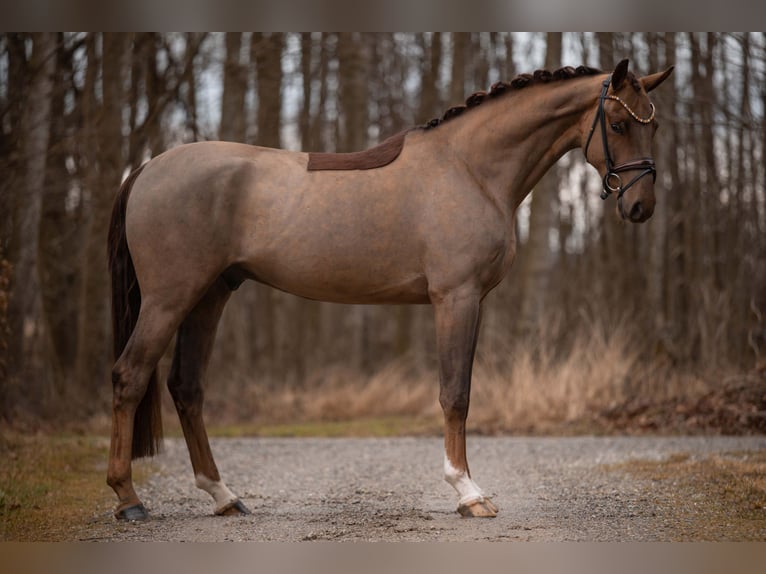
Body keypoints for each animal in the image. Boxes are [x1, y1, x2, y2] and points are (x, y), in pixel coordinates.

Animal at [106, 59, 672, 520]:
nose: (641, 206)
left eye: (655, 125)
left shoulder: (471, 301)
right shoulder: (455, 298)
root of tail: (147, 168)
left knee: (187, 387)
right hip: (169, 298)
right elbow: (455, 394)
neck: (470, 168)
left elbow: (461, 391)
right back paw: (129, 499)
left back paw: (224, 497)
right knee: (130, 376)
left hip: (210, 295)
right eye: (618, 124)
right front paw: (468, 493)